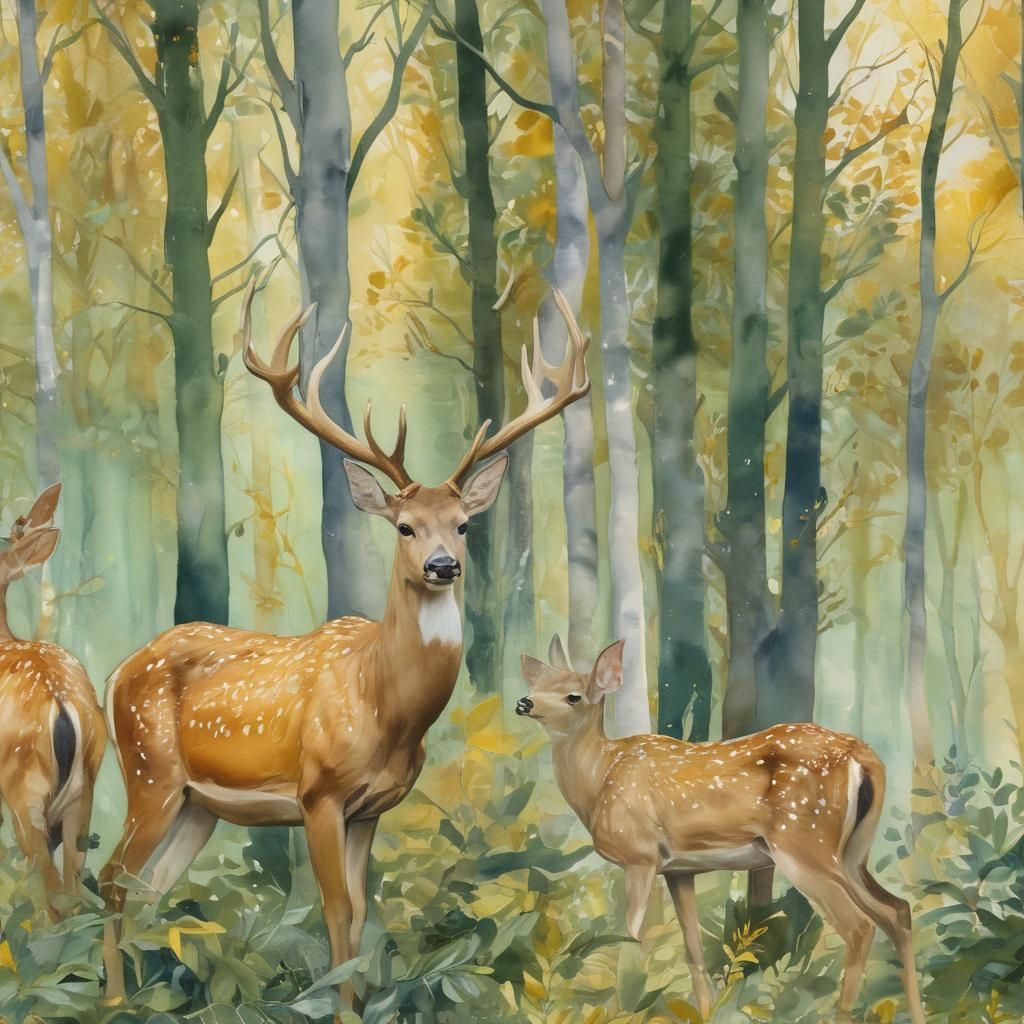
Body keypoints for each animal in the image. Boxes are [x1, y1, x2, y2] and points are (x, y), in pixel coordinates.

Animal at [99, 282, 590, 1005]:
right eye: (406, 526)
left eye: (464, 524)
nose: (444, 566)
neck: (384, 704)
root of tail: (115, 673)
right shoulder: (319, 793)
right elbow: (333, 912)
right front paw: (338, 1008)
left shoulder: (370, 809)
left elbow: (360, 916)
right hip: (149, 770)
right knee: (111, 879)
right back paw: (110, 1000)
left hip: (196, 804)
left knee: (148, 891)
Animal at [516, 637, 926, 1024]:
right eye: (538, 685)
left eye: (573, 695)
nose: (523, 702)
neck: (600, 779)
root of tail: (865, 757)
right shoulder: (678, 869)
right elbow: (693, 952)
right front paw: (705, 1013)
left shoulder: (640, 856)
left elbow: (633, 937)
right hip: (852, 854)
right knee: (897, 910)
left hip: (803, 843)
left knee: (860, 926)